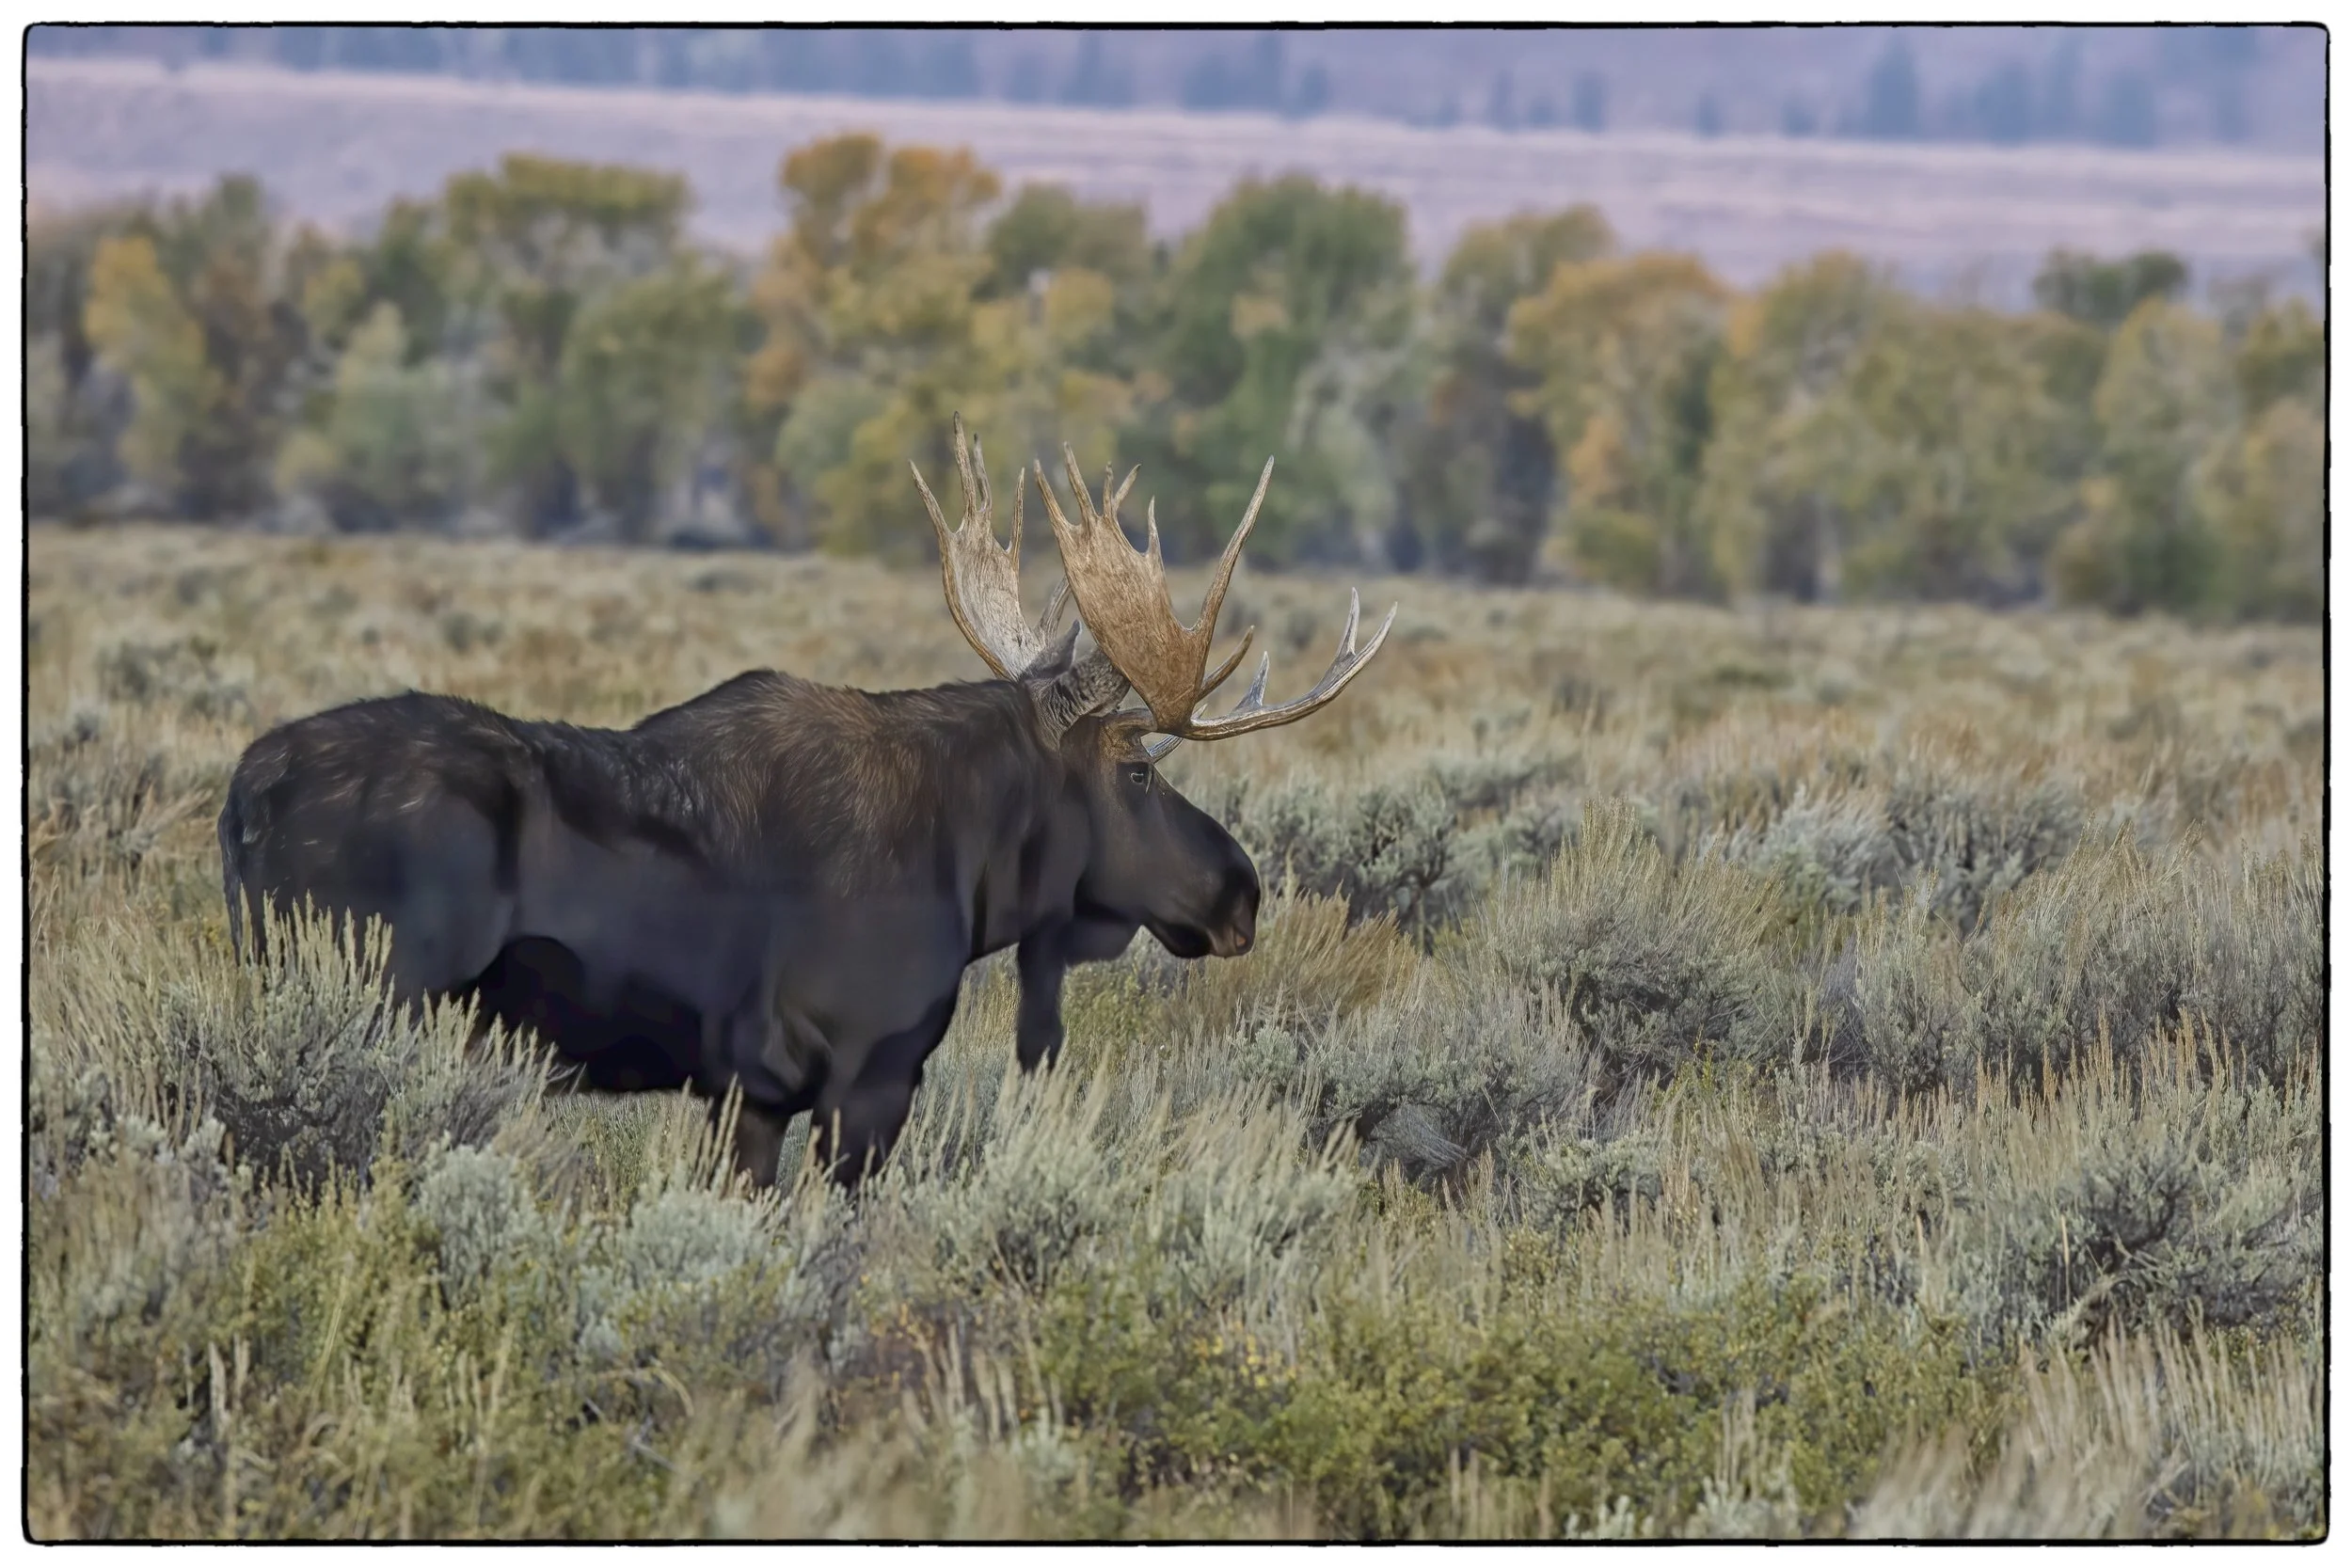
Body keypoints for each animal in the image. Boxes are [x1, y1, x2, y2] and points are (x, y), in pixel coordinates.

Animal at [218, 418, 1395, 1185]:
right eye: (1141, 770)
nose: (1239, 894)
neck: (973, 873)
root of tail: (243, 794)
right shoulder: (867, 1074)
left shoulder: (748, 1095)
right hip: (374, 988)